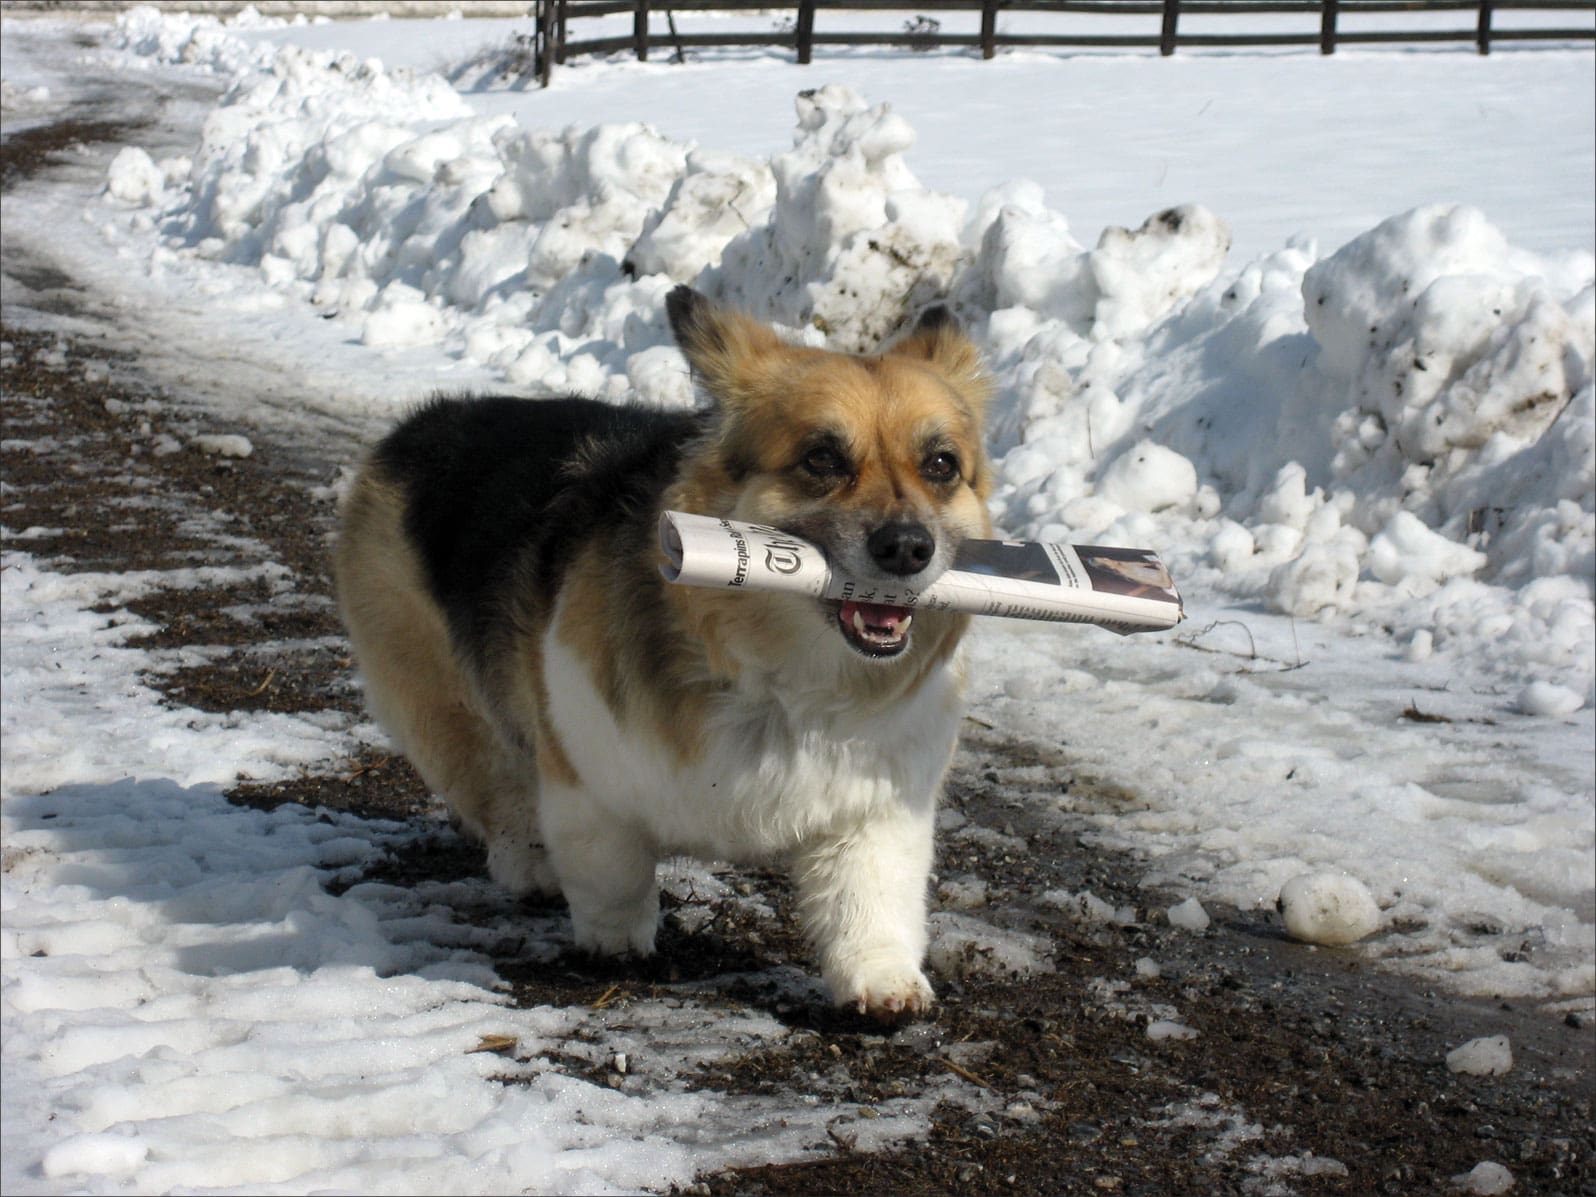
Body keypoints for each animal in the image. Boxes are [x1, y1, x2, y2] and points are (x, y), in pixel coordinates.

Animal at [335, 284, 983, 1021]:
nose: (908, 548)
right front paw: (618, 943)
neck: (780, 679)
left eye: (942, 466)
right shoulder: (586, 775)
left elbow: (870, 900)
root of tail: (418, 426)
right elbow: (609, 869)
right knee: (495, 785)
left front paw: (883, 985)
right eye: (822, 459)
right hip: (439, 698)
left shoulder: (875, 811)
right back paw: (530, 862)